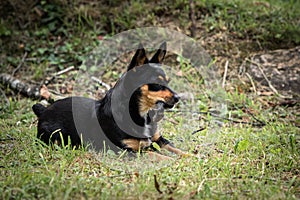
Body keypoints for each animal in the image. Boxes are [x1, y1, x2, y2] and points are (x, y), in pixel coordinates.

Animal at [32, 42, 188, 159]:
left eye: (168, 81)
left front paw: (191, 157)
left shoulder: (159, 139)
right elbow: (157, 156)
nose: (178, 98)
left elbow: (177, 149)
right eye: (157, 83)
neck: (139, 112)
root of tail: (44, 110)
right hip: (55, 136)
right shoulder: (128, 151)